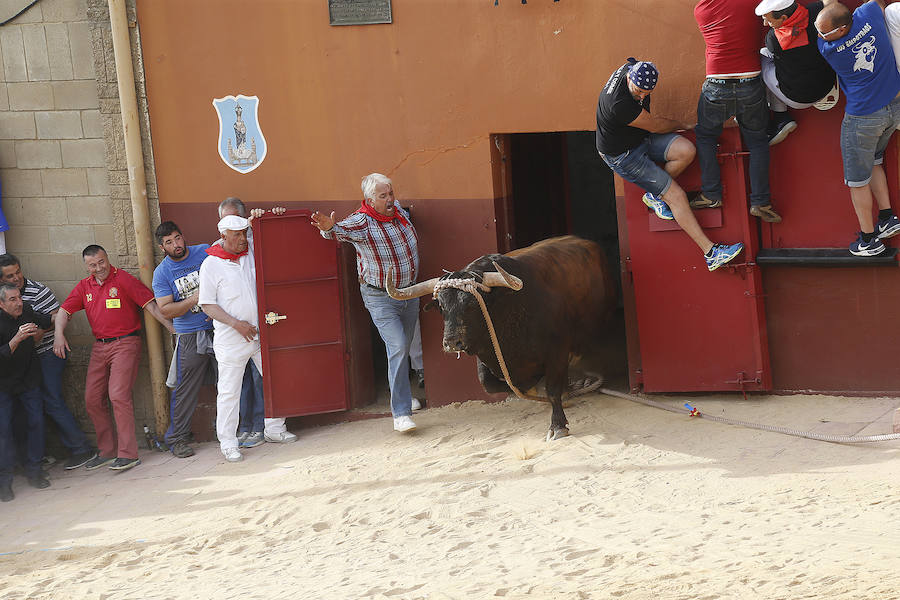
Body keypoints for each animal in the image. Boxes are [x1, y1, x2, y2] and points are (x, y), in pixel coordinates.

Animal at [384, 236, 616, 440]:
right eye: (441, 306)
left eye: (472, 304)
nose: (451, 343)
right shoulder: (486, 352)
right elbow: (489, 383)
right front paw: (532, 388)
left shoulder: (556, 352)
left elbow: (552, 390)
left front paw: (558, 426)